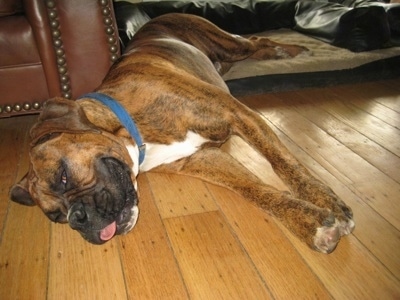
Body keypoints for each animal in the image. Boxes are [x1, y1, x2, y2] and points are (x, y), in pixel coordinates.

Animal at [8, 13, 354, 253]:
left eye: (64, 176)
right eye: (56, 217)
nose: (78, 218)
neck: (135, 133)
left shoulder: (239, 115)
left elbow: (285, 164)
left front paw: (328, 202)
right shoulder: (203, 159)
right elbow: (256, 191)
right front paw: (309, 222)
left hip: (228, 43)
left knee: (257, 41)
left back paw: (293, 50)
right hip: (225, 58)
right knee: (253, 49)